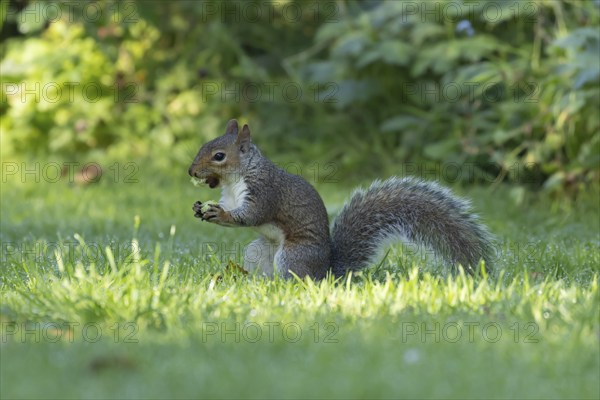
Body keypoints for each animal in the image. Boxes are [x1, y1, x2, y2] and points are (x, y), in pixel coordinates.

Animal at [188, 120, 492, 280]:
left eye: (219, 156)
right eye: (202, 146)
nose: (191, 172)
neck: (235, 179)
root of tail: (327, 273)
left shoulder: (264, 191)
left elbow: (250, 215)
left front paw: (218, 214)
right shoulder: (230, 196)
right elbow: (231, 208)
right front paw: (200, 208)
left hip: (293, 254)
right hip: (259, 251)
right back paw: (248, 281)